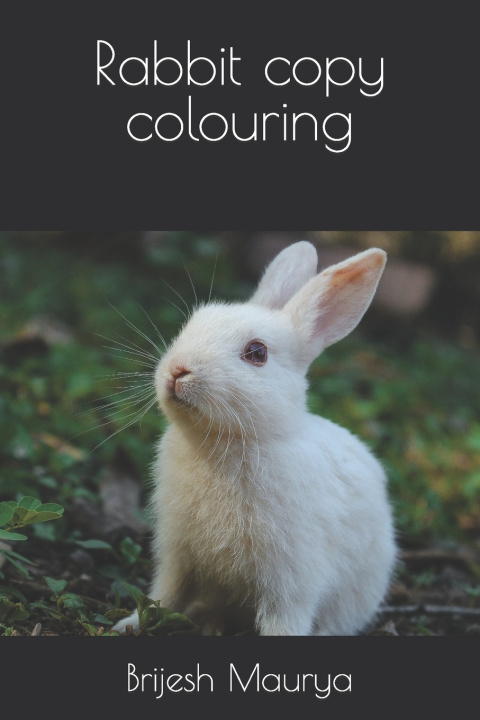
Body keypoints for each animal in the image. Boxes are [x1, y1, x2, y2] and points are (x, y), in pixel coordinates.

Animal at [114, 241, 396, 636]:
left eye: (257, 353)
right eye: (191, 325)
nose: (178, 371)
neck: (227, 441)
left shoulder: (290, 582)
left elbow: (284, 622)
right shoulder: (178, 556)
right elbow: (163, 595)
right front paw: (127, 624)